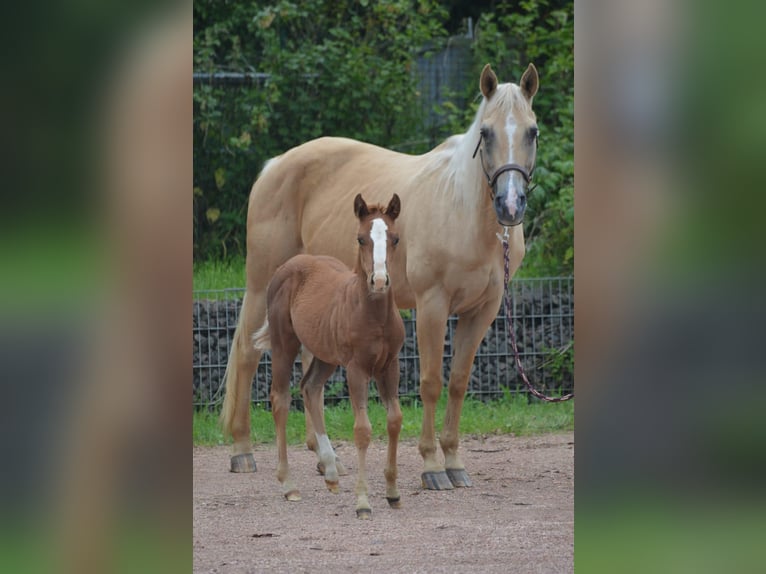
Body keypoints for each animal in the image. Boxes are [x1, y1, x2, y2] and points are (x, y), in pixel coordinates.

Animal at [252, 196, 408, 520]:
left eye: (395, 238)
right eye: (360, 238)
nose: (379, 281)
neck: (375, 316)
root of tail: (289, 265)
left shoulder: (390, 366)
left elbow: (394, 420)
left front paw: (393, 493)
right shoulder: (357, 369)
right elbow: (362, 430)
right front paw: (362, 502)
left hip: (326, 355)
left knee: (310, 388)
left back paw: (332, 471)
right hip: (285, 345)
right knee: (280, 399)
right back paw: (289, 484)